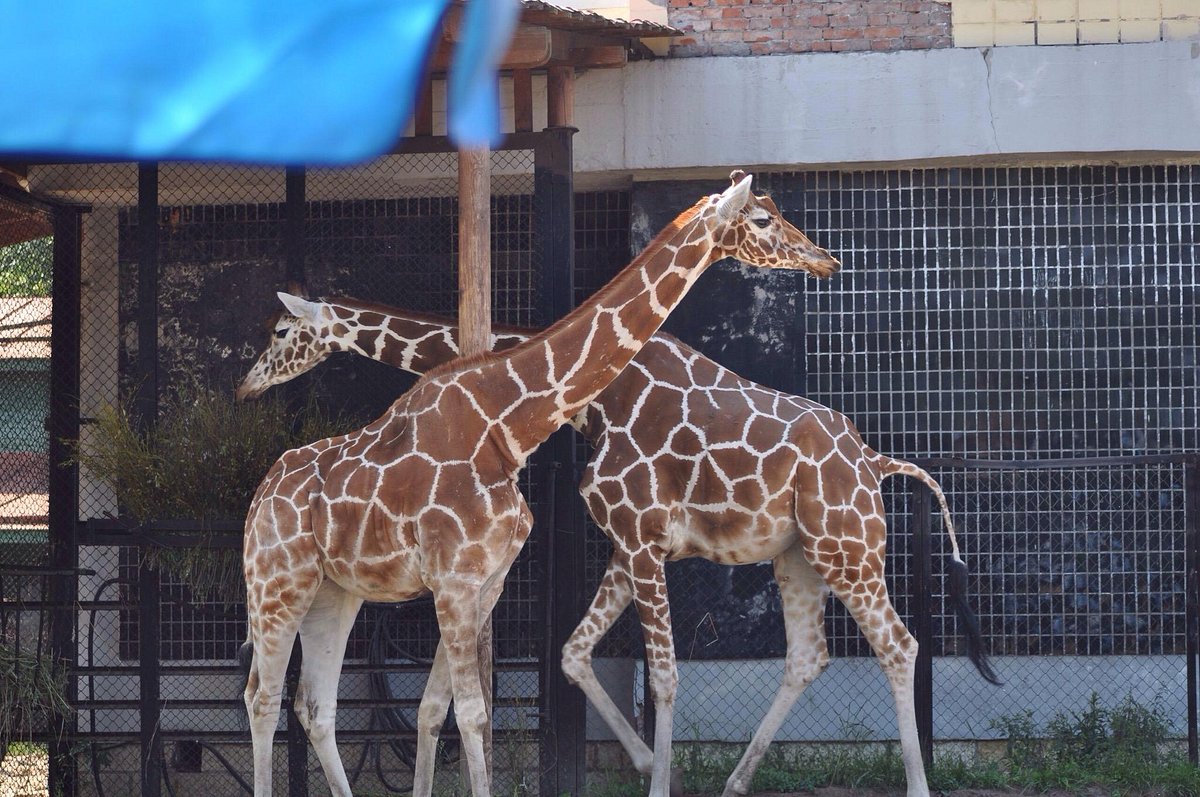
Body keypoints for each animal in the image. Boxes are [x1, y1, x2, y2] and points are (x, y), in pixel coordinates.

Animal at [238, 188, 998, 797]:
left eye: (279, 330)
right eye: (761, 217)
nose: (826, 261)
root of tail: (872, 459)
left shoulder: (627, 539)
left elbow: (640, 675)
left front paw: (661, 775)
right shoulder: (621, 542)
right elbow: (568, 662)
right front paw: (660, 770)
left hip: (842, 548)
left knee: (894, 646)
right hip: (804, 555)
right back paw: (738, 780)